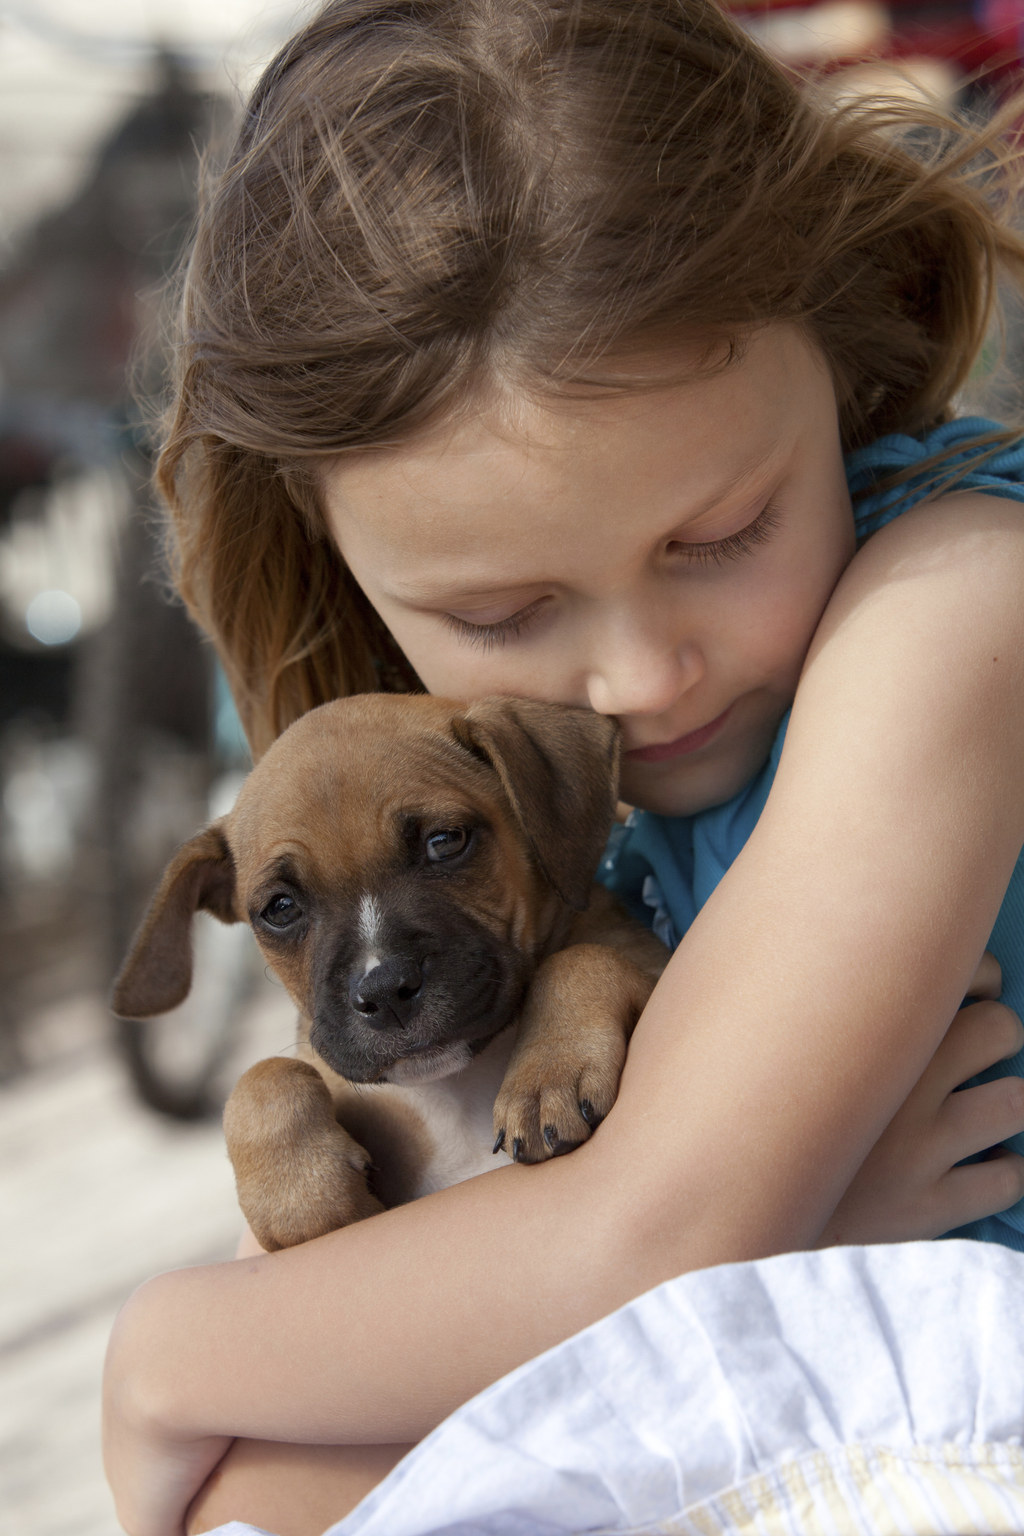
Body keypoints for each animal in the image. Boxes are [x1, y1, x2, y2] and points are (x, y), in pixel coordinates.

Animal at [115, 694, 669, 1247]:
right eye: (280, 908)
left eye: (444, 842)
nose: (383, 991)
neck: (453, 1089)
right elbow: (263, 1077)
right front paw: (304, 1196)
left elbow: (581, 959)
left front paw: (548, 1072)